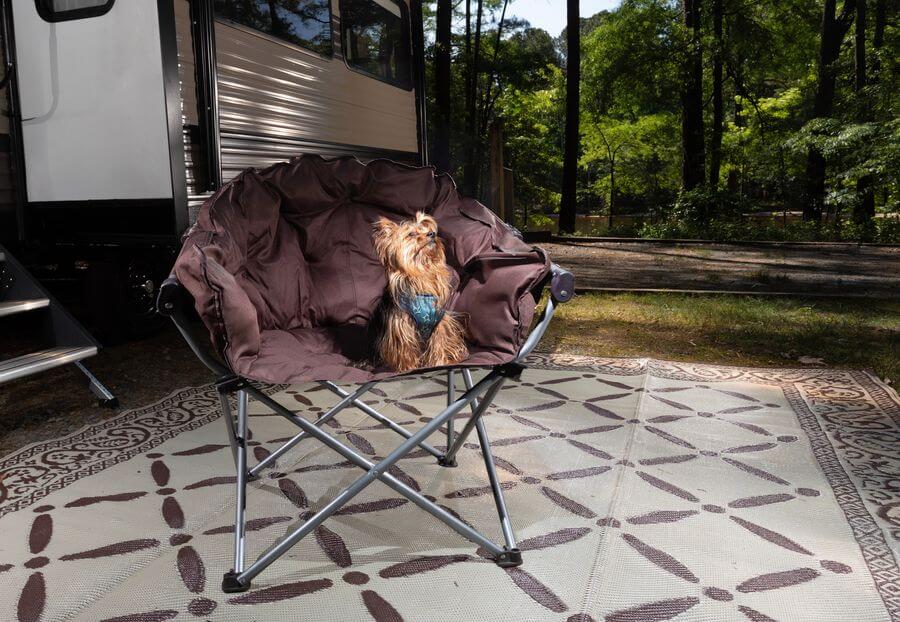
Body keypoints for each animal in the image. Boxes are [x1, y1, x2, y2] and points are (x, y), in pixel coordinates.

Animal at [372, 212, 472, 372]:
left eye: (428, 230)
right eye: (411, 234)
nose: (432, 234)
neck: (421, 271)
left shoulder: (440, 322)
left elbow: (439, 343)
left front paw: (440, 363)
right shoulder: (402, 325)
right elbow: (406, 349)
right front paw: (409, 368)